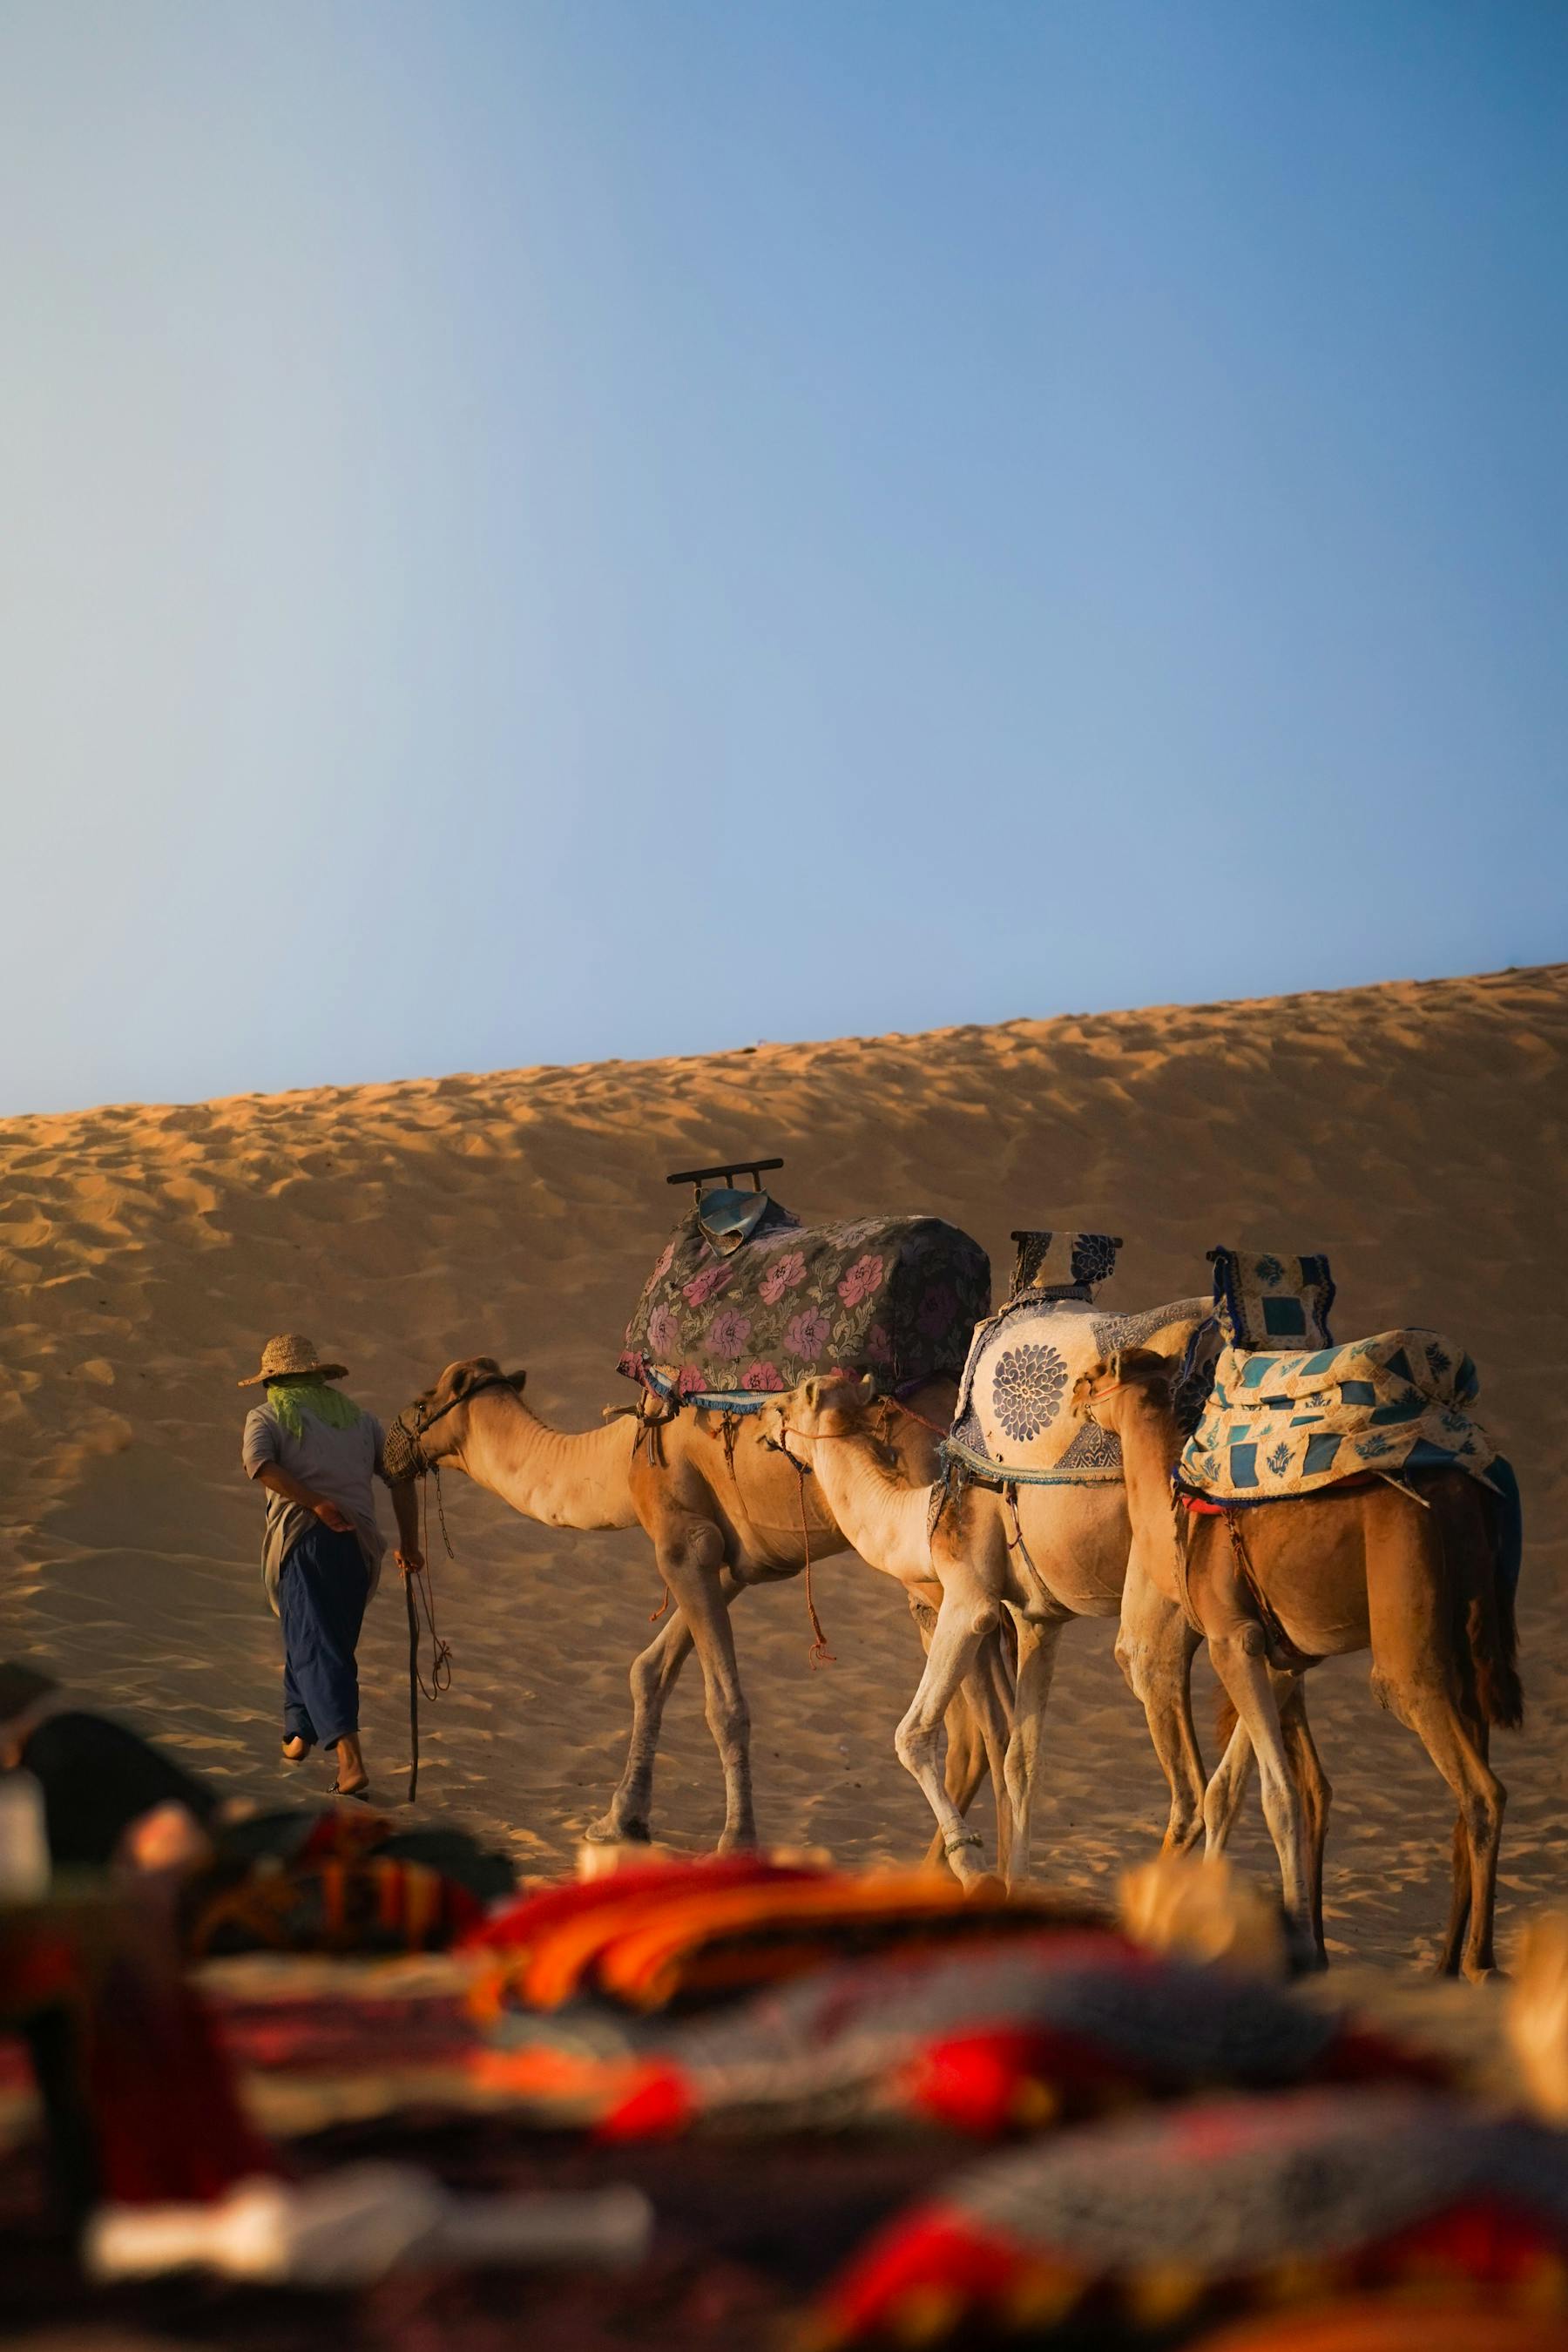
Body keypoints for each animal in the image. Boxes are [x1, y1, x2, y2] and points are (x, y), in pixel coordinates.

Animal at [387, 1359, 1013, 1860]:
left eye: (420, 1404)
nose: (391, 1450)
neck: (618, 1459)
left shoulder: (682, 1542)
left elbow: (724, 1706)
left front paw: (736, 1841)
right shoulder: (732, 1561)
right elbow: (650, 1670)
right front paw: (618, 1819)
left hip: (937, 1570)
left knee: (981, 1731)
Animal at [759, 1290, 1223, 1890]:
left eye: (794, 1400)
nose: (761, 1415)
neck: (920, 1517)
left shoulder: (969, 1599)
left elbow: (913, 1735)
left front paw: (972, 1865)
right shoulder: (1037, 1619)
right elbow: (1021, 1762)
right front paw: (1014, 1885)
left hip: (1159, 1596)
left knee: (1191, 1787)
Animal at [1072, 1347, 1522, 1980]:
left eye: (1095, 1376)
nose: (1071, 1394)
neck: (1179, 1529)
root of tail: (1469, 1497)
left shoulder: (1231, 1641)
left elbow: (1278, 1795)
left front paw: (1300, 1948)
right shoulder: (1278, 1659)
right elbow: (1225, 1791)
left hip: (1409, 1622)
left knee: (1476, 1784)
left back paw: (1480, 1963)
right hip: (1472, 1629)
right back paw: (1451, 1964)